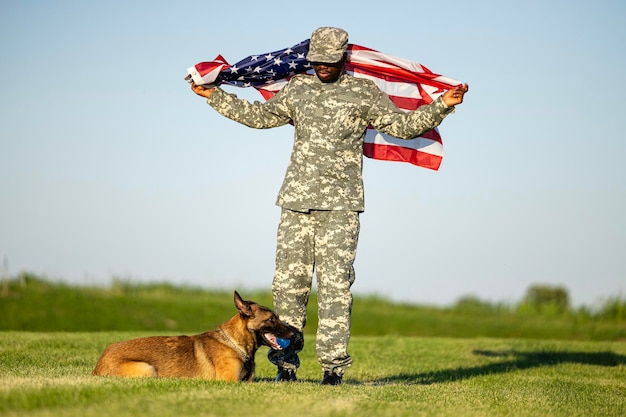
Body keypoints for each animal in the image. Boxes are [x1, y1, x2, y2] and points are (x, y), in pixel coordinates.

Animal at [92, 290, 292, 380]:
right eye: (272, 319)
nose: (294, 332)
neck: (235, 343)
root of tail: (98, 364)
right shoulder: (230, 382)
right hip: (147, 369)